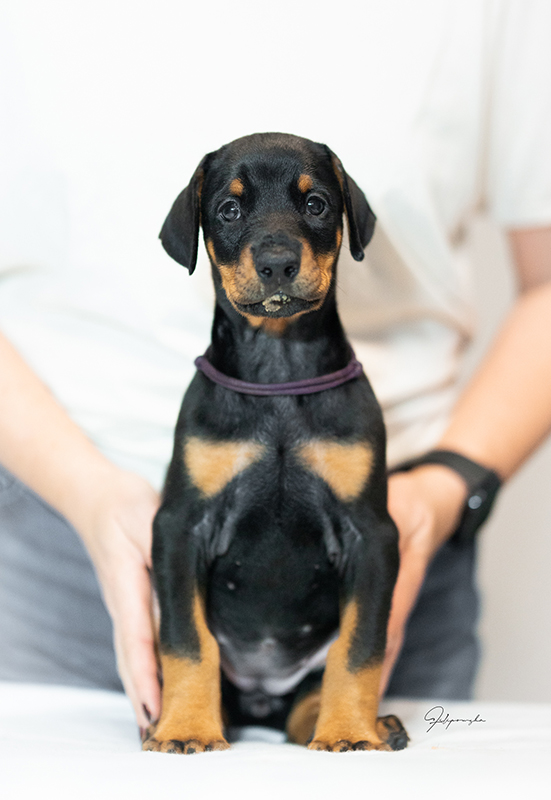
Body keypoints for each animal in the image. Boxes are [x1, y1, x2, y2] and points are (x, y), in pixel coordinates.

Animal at [142, 132, 409, 753]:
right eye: (228, 210)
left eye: (315, 204)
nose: (278, 264)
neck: (279, 368)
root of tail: (263, 698)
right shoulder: (179, 526)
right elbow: (187, 643)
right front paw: (186, 729)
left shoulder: (373, 534)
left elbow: (358, 650)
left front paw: (349, 733)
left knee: (307, 696)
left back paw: (362, 724)